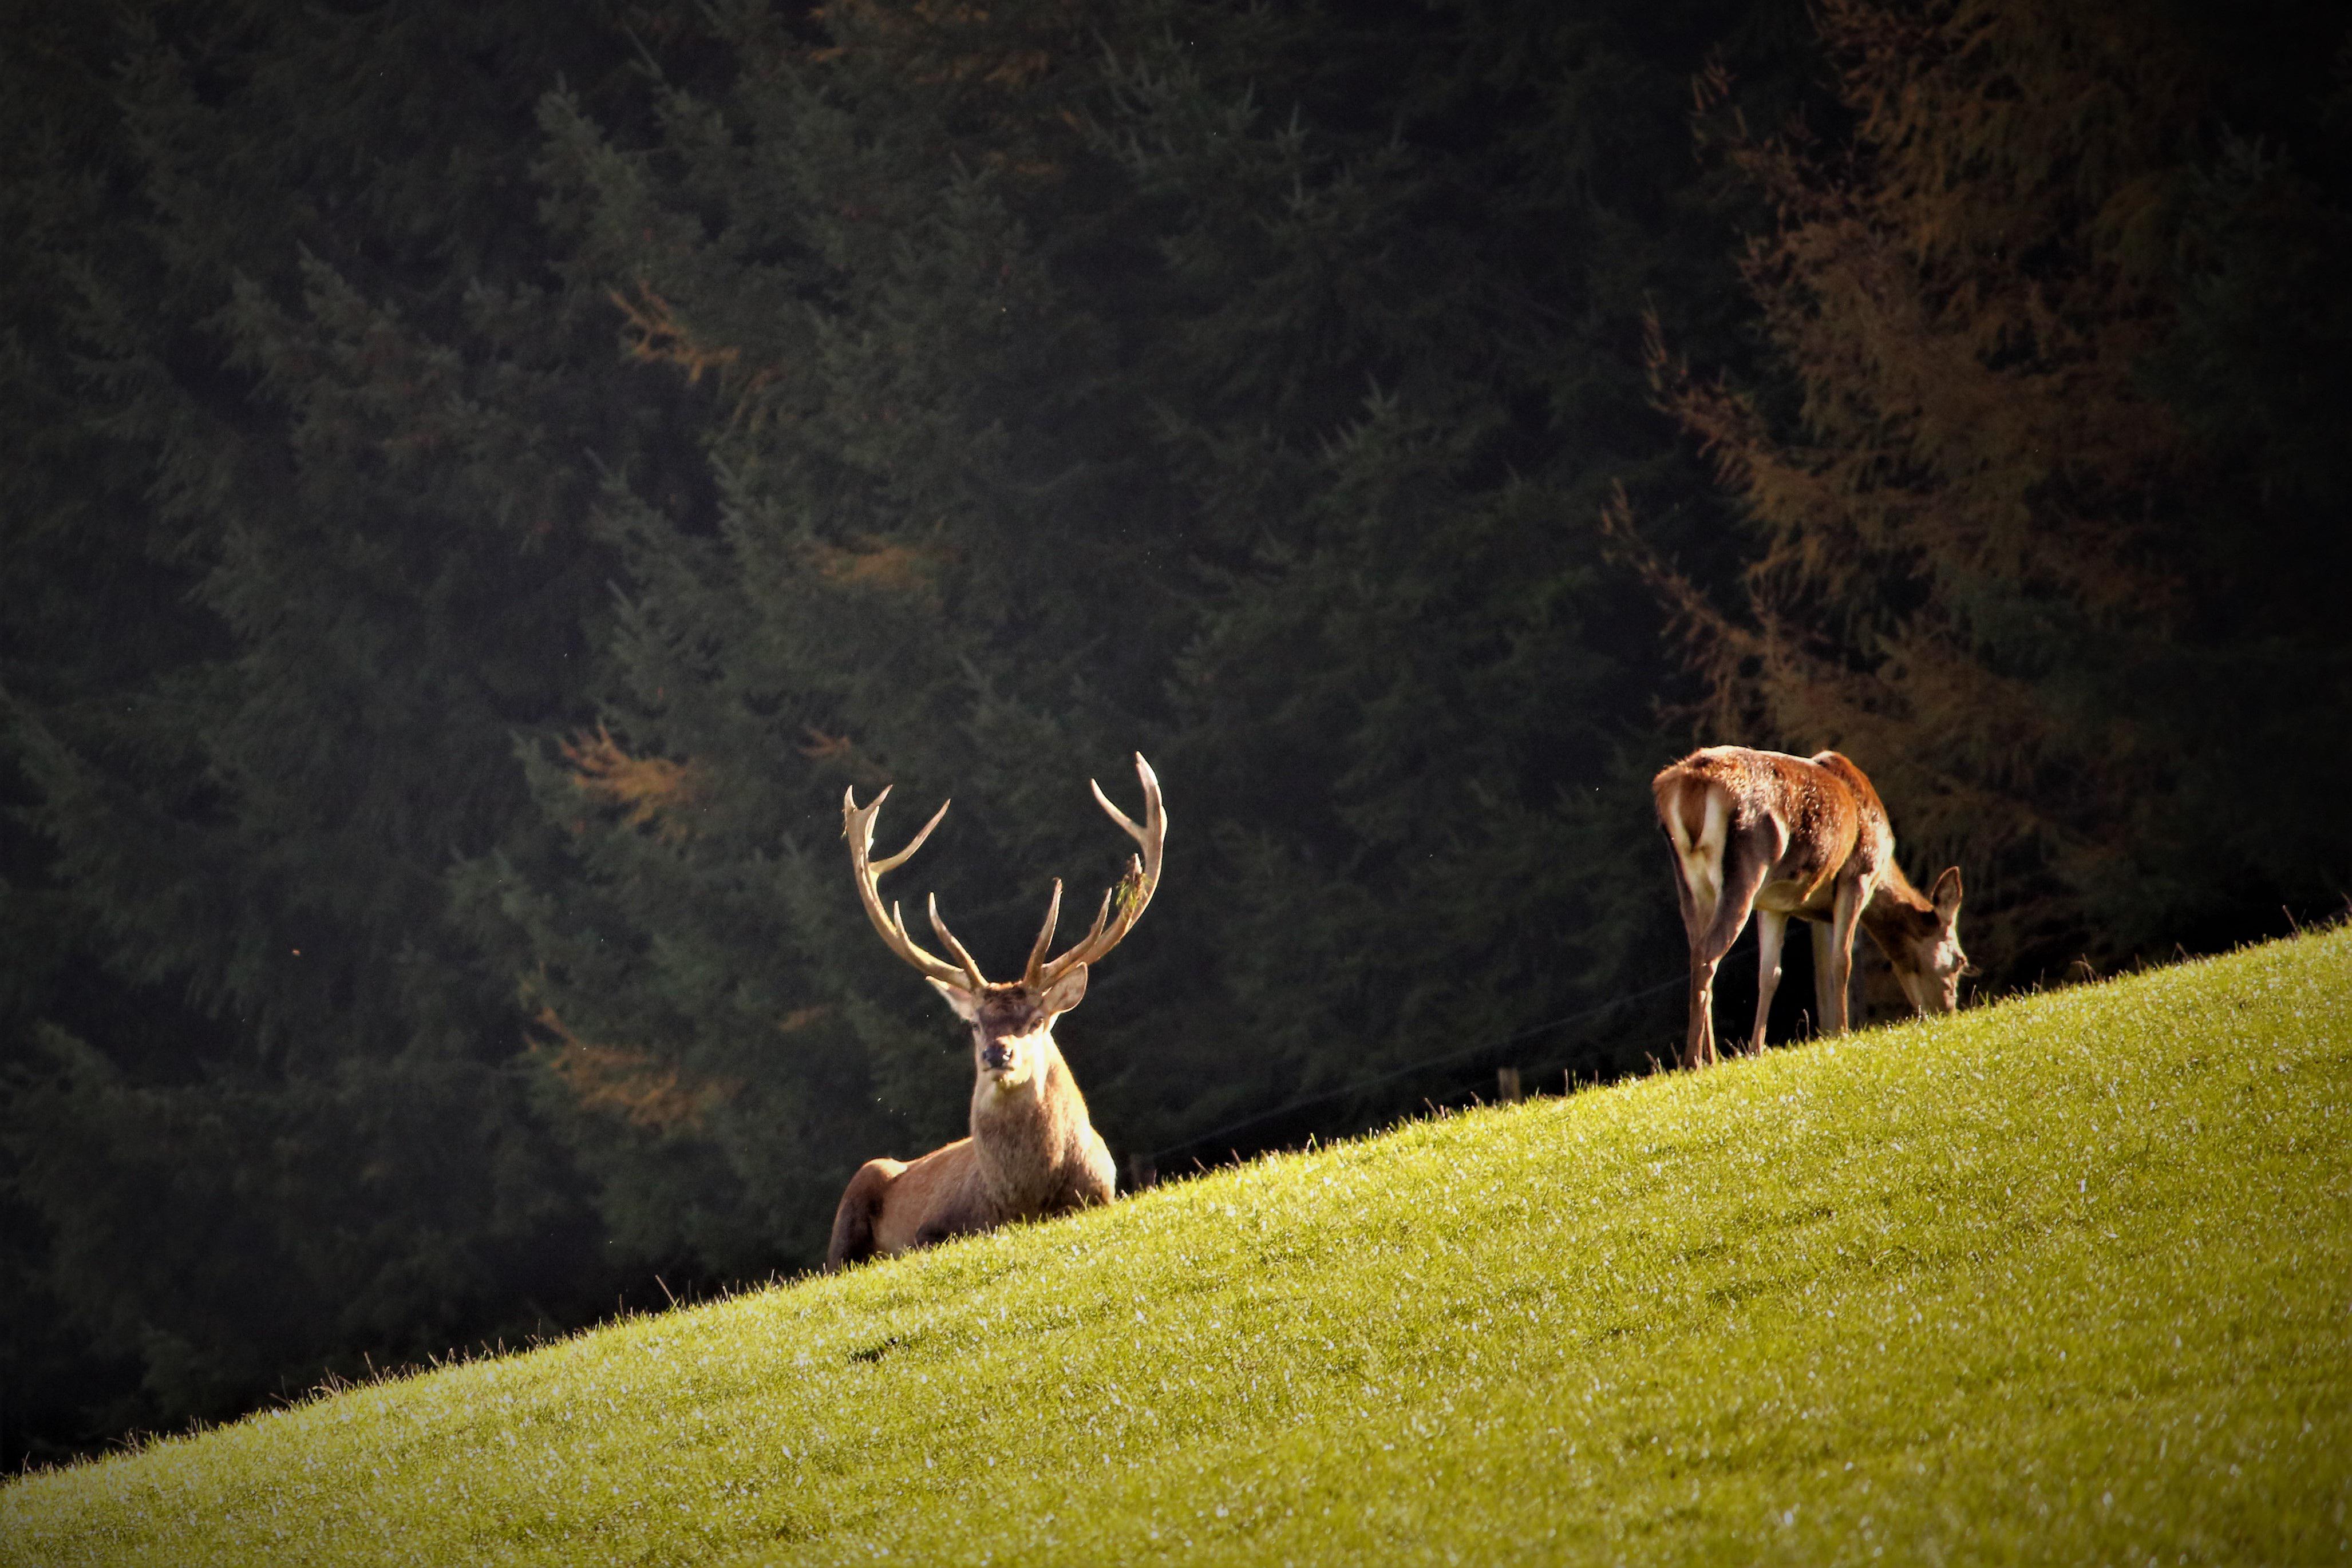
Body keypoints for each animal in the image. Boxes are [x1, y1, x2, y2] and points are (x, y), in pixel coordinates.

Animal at [824, 753, 1164, 1271]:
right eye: (974, 1025)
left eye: (1036, 1021)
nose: (997, 1054)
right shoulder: (931, 1229)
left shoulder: (1102, 1194)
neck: (1019, 1203)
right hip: (859, 1191)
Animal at [1652, 746, 1967, 1070]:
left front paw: (1756, 1049)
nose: (1946, 1012)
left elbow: (1770, 973)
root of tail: (1690, 784)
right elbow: (1841, 960)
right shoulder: (1858, 875)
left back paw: (1711, 1058)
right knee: (1708, 954)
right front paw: (1842, 1033)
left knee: (1697, 952)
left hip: (1691, 884)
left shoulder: (1774, 905)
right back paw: (1692, 1061)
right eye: (1959, 961)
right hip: (1747, 867)